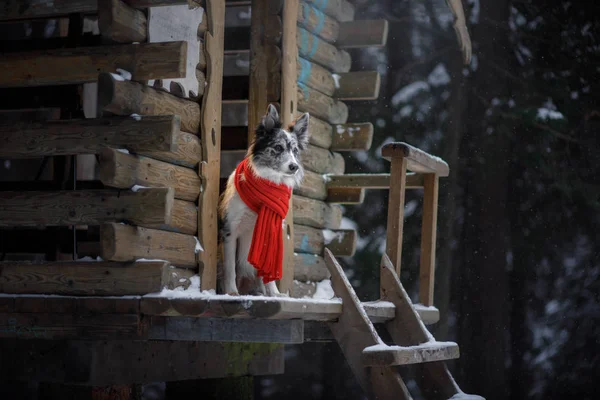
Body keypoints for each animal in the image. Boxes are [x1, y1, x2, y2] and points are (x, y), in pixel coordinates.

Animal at [218, 104, 310, 296]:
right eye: (278, 147)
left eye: (295, 151)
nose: (294, 167)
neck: (268, 180)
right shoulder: (230, 230)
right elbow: (230, 268)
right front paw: (232, 292)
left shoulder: (267, 233)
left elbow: (265, 271)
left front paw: (273, 294)